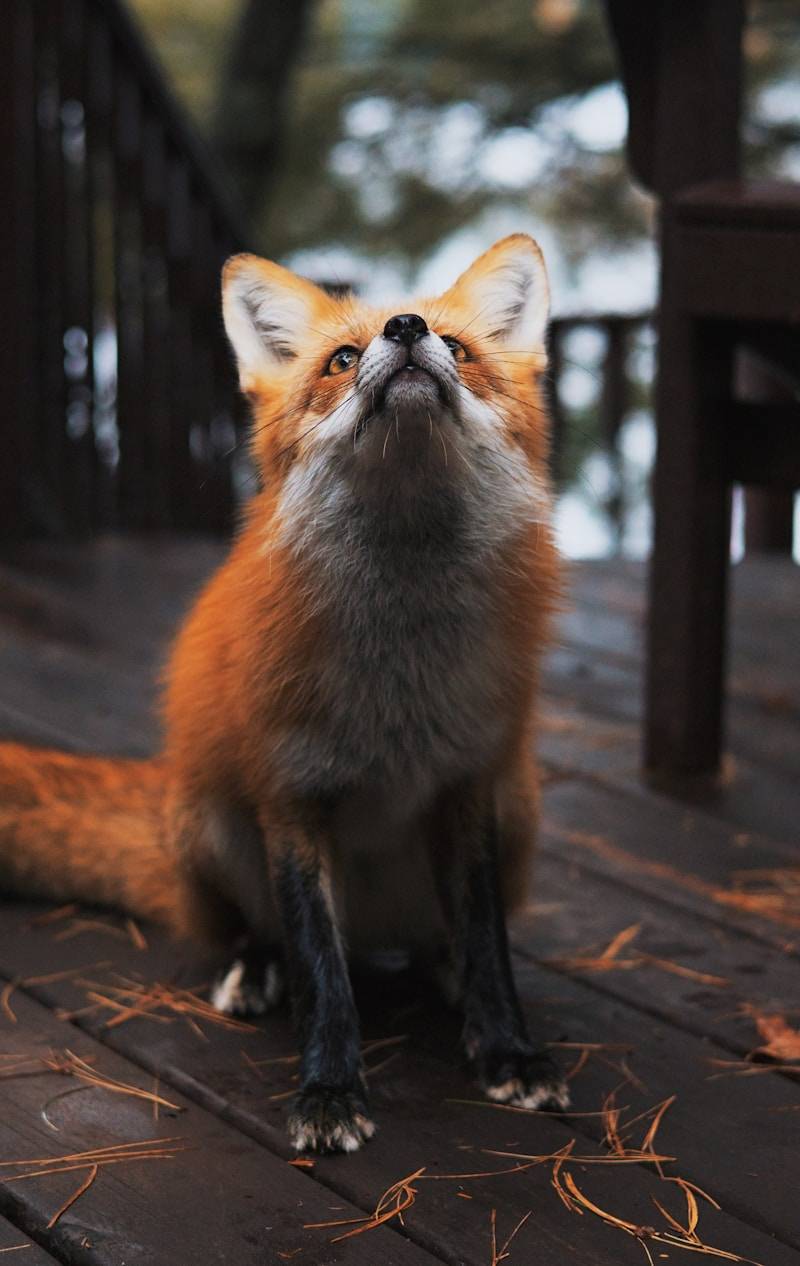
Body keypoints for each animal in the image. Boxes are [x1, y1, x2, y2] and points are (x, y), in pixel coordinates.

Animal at [0, 232, 569, 1154]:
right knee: (260, 931)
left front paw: (507, 1052)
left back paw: (439, 967)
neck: (398, 678)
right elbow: (319, 970)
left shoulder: (468, 786)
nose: (406, 329)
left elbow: (489, 943)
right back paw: (253, 972)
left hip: (520, 808)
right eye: (341, 359)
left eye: (456, 348)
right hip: (212, 823)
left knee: (441, 938)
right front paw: (329, 1091)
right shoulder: (290, 798)